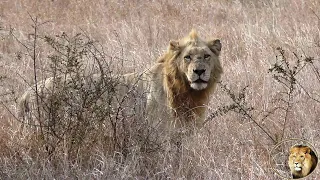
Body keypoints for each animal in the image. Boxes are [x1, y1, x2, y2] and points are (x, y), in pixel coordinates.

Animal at [17, 29, 222, 134]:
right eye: (187, 57)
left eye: (206, 56)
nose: (199, 71)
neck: (187, 92)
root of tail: (27, 92)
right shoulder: (159, 132)